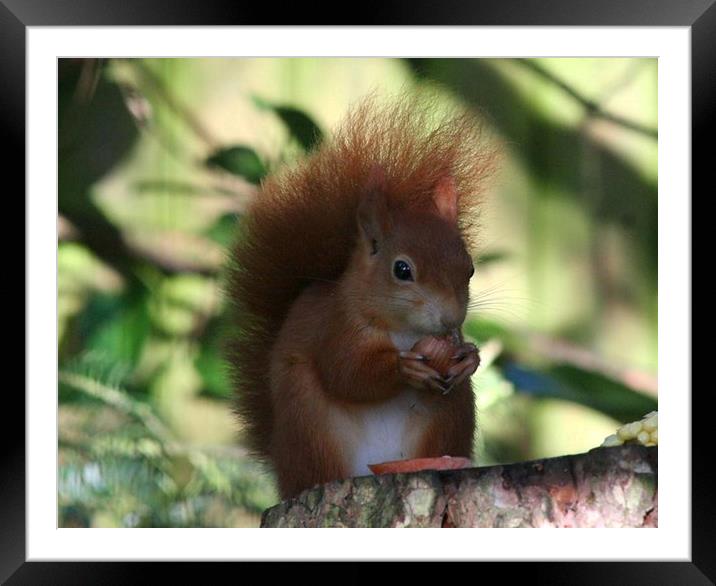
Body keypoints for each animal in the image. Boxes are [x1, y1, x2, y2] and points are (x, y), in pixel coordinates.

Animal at [229, 97, 498, 498]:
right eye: (402, 269)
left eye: (470, 269)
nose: (451, 318)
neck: (404, 331)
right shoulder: (337, 326)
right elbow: (346, 373)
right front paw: (405, 367)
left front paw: (469, 358)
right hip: (309, 424)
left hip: (448, 418)